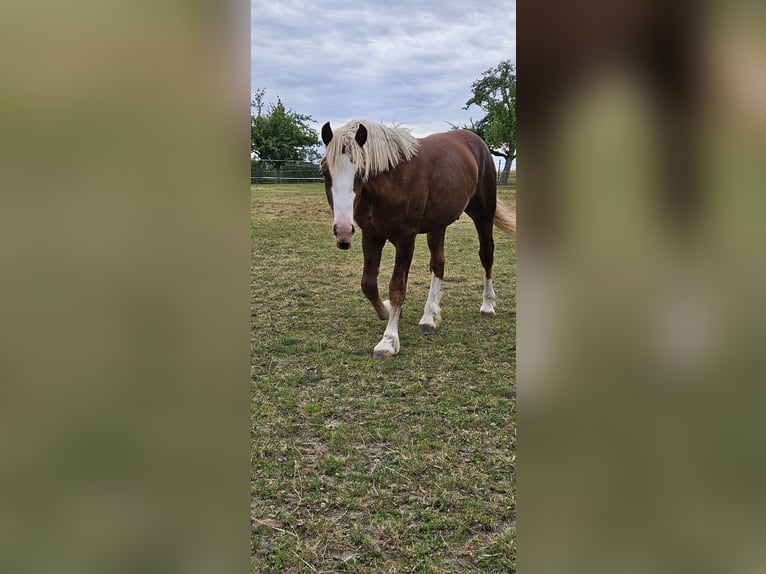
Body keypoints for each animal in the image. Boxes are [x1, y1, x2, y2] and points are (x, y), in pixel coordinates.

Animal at [320, 120, 516, 359]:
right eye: (325, 172)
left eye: (361, 171)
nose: (343, 231)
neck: (393, 179)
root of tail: (477, 142)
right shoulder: (371, 236)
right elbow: (368, 284)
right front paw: (386, 311)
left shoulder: (406, 239)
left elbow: (397, 287)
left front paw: (388, 341)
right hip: (438, 225)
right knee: (438, 264)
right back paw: (430, 316)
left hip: (483, 214)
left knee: (486, 254)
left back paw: (487, 305)